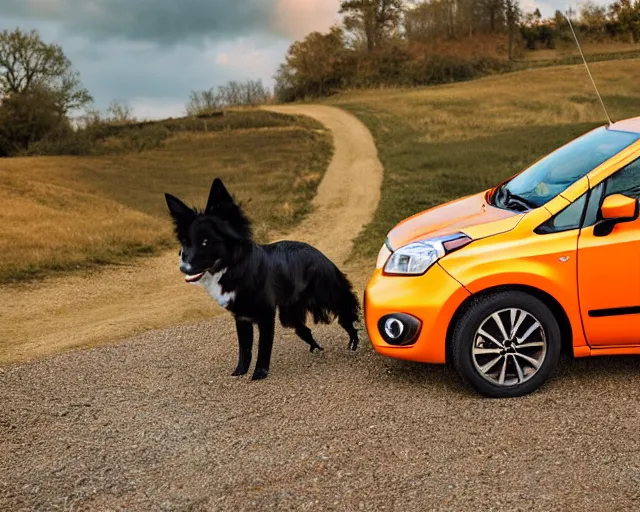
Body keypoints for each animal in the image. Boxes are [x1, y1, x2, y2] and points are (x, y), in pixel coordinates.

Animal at [164, 178, 360, 378]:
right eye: (186, 242)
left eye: (205, 242)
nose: (183, 267)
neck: (237, 269)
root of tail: (321, 255)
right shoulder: (241, 317)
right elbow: (245, 349)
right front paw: (239, 373)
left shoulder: (265, 315)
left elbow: (263, 346)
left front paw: (259, 374)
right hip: (289, 314)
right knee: (305, 330)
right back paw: (317, 348)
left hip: (328, 297)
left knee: (346, 315)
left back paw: (353, 342)